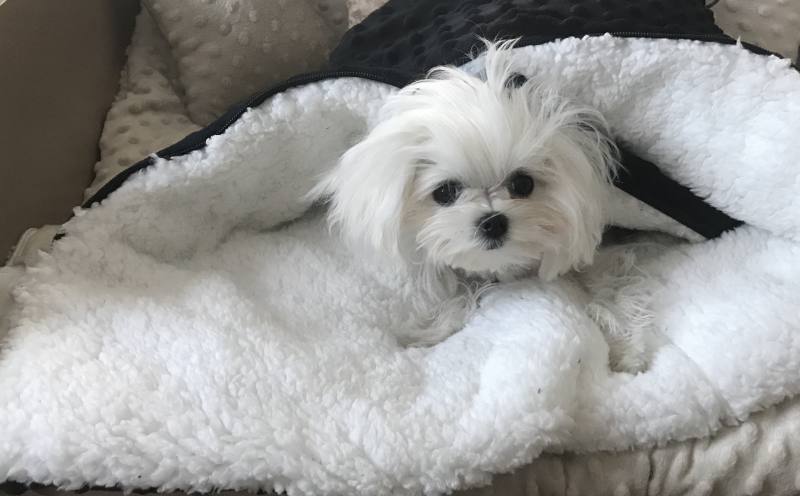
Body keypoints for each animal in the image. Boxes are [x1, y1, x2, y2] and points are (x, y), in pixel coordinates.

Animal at [310, 40, 650, 373]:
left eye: (522, 184)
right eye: (445, 192)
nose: (493, 222)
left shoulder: (606, 254)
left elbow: (613, 288)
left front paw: (627, 350)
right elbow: (456, 291)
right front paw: (428, 331)